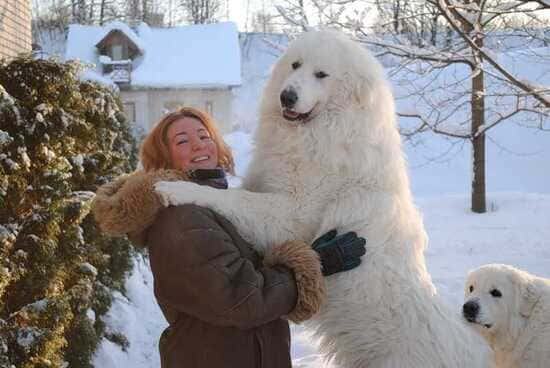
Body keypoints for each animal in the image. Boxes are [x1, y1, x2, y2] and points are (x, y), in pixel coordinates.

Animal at [155, 29, 496, 368]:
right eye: (295, 65)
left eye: (321, 74)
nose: (286, 96)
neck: (323, 133)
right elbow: (237, 193)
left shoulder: (290, 214)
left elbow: (235, 199)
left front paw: (175, 189)